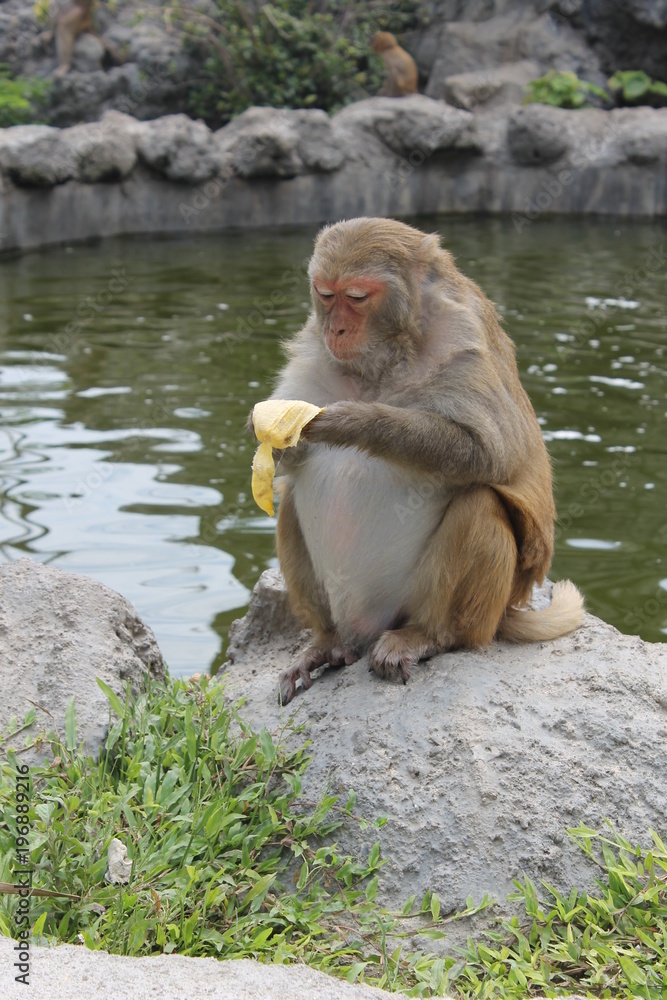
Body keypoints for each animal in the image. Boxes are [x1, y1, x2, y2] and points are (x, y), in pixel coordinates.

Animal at [261, 217, 584, 705]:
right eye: (325, 294)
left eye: (357, 296)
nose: (335, 331)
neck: (395, 349)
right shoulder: (313, 346)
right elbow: (292, 463)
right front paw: (278, 438)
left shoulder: (464, 333)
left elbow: (489, 454)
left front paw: (355, 422)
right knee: (292, 503)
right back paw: (327, 643)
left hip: (460, 613)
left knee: (480, 503)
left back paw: (429, 635)